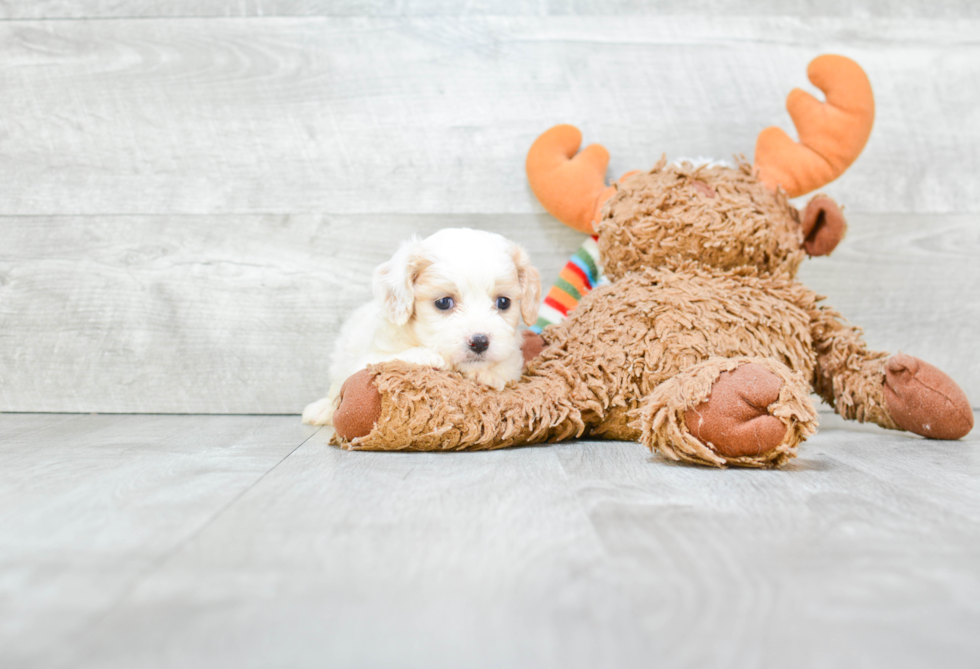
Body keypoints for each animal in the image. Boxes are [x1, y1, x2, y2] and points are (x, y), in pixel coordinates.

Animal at [302, 227, 540, 426]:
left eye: (504, 302)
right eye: (443, 302)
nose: (480, 342)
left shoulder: (513, 359)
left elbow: (505, 369)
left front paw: (489, 375)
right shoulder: (366, 360)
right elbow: (391, 360)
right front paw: (428, 356)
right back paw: (320, 410)